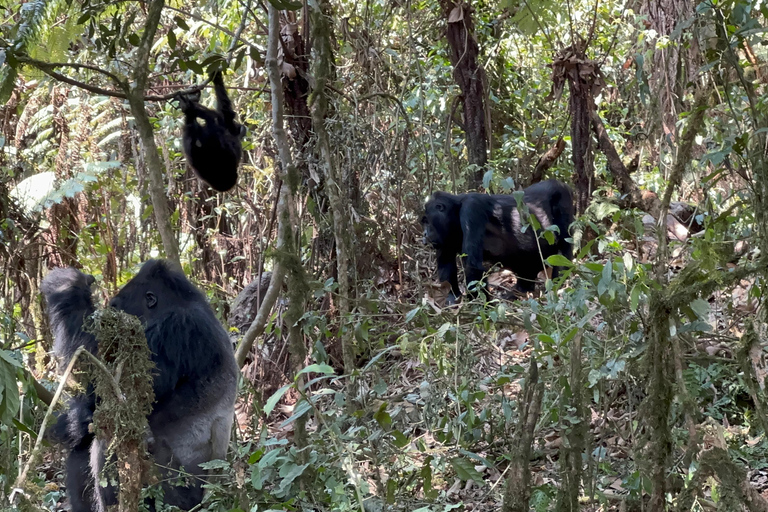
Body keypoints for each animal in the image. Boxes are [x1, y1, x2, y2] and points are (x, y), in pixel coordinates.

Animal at [41, 262, 237, 510]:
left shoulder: (177, 328)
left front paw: (66, 286)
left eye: (116, 308)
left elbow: (114, 390)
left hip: (178, 501)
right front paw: (72, 424)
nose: (108, 321)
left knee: (111, 436)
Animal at [420, 179, 576, 304]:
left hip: (562, 199)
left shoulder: (471, 210)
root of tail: (563, 184)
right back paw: (520, 290)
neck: (456, 210)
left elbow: (472, 265)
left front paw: (478, 305)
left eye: (427, 221)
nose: (424, 234)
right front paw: (451, 298)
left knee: (564, 248)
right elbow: (446, 263)